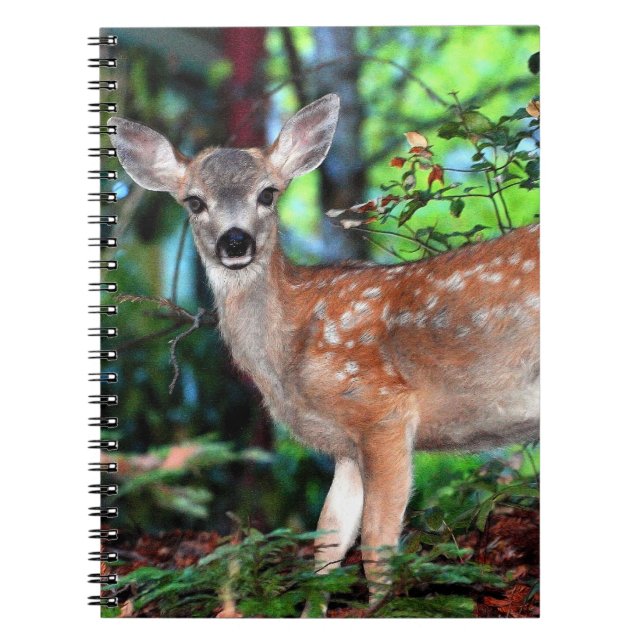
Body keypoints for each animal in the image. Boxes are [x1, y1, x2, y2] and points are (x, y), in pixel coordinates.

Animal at [108, 93, 539, 614]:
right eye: (194, 201)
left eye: (268, 194)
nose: (236, 241)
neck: (287, 356)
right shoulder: (345, 446)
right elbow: (327, 540)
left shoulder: (382, 407)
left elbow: (376, 542)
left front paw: (383, 611)